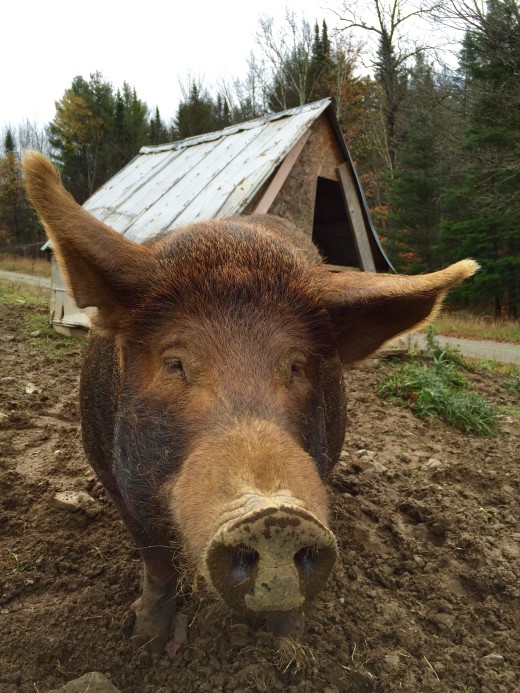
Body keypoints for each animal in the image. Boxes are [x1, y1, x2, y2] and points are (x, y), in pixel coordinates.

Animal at [23, 151, 477, 652]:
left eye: (297, 366)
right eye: (175, 362)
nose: (276, 515)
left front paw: (290, 644)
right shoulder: (109, 474)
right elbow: (156, 561)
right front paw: (145, 639)